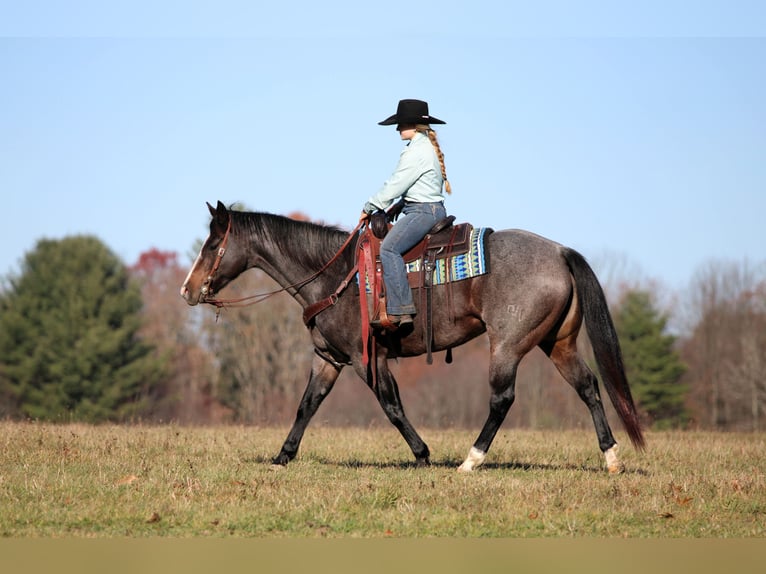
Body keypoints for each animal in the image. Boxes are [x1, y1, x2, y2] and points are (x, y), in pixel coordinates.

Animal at [180, 201, 645, 473]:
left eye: (212, 245)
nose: (188, 289)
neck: (336, 276)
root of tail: (560, 252)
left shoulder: (366, 358)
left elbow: (391, 406)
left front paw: (422, 454)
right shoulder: (328, 358)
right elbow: (307, 405)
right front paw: (283, 456)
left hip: (507, 345)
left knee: (502, 399)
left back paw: (470, 461)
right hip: (558, 343)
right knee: (588, 387)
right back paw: (611, 457)